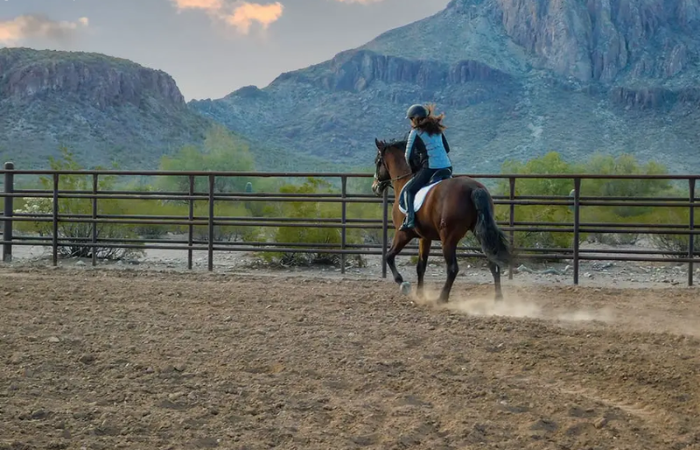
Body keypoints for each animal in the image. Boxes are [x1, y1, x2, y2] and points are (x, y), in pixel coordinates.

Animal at [372, 138, 516, 302]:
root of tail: (473, 188)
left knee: (453, 268)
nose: (374, 187)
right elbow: (421, 266)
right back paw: (498, 298)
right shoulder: (424, 237)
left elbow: (388, 256)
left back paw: (442, 299)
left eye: (377, 161)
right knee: (493, 264)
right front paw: (420, 294)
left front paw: (404, 284)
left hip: (448, 238)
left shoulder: (403, 233)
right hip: (479, 232)